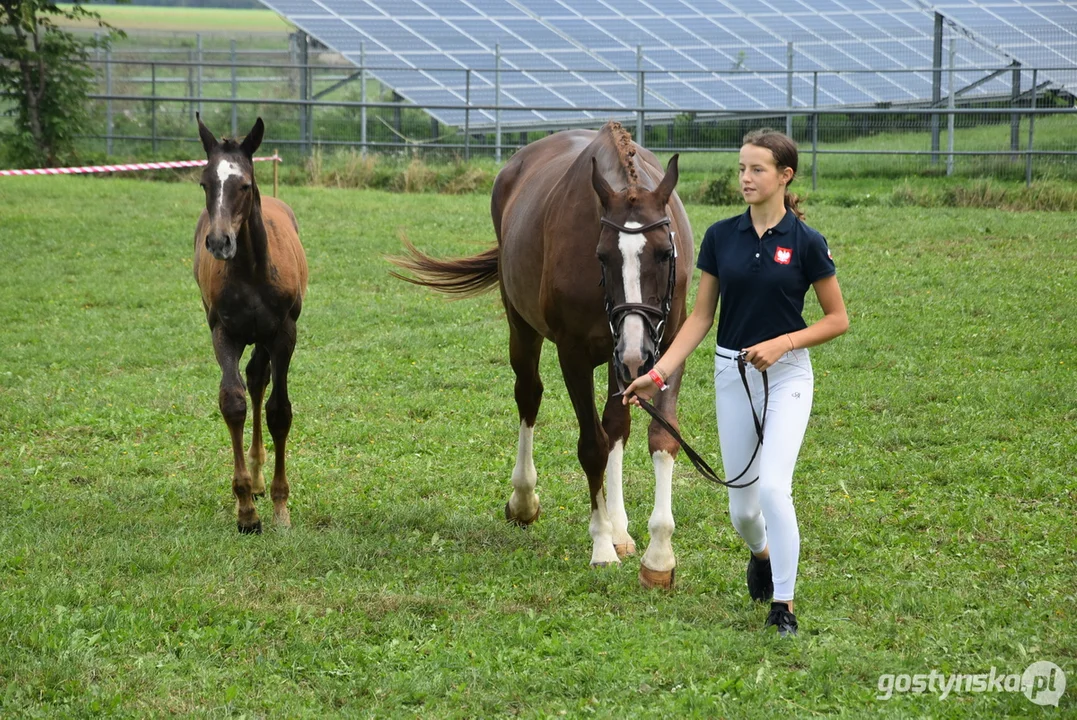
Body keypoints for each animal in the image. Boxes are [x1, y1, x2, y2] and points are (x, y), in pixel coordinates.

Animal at [192, 115, 308, 531]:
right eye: (205, 183)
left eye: (243, 185)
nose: (219, 242)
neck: (252, 270)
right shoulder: (223, 332)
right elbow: (233, 401)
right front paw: (246, 510)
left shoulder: (284, 334)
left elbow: (279, 411)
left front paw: (280, 508)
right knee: (253, 382)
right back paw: (254, 484)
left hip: (265, 336)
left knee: (260, 379)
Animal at [394, 122, 689, 585]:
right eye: (601, 255)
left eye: (664, 252)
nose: (636, 349)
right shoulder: (573, 353)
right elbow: (591, 446)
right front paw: (601, 546)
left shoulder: (668, 344)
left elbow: (660, 437)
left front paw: (658, 555)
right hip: (524, 326)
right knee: (529, 395)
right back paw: (525, 500)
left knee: (616, 424)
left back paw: (622, 528)